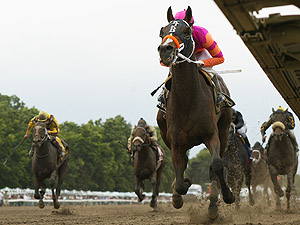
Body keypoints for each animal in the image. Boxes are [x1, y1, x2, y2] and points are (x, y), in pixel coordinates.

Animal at [156, 6, 236, 219]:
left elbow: (217, 165)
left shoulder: (212, 134)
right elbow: (179, 172)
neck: (187, 99)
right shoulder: (175, 142)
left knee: (215, 166)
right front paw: (179, 191)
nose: (165, 50)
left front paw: (226, 197)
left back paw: (214, 205)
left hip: (224, 129)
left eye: (186, 31)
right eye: (162, 31)